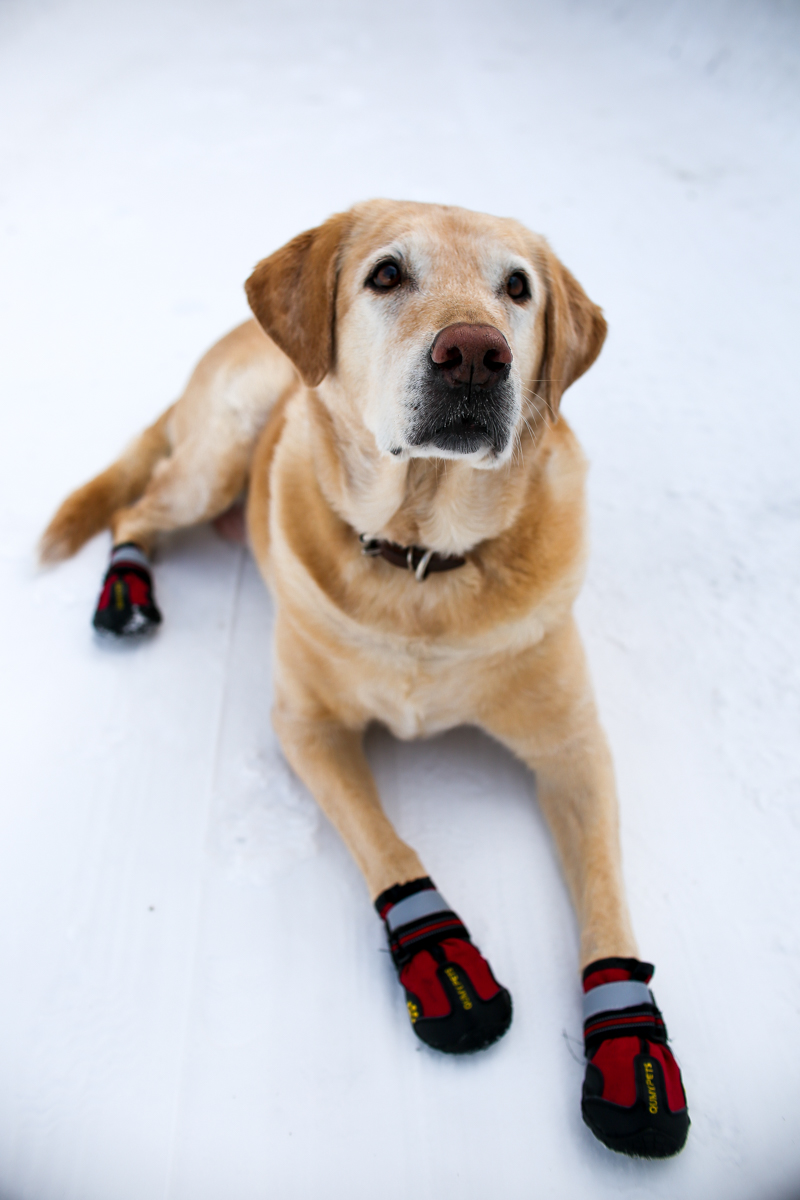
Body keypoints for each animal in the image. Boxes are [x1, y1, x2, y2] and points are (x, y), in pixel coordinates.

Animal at [38, 201, 690, 1156]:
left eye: (517, 288)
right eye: (387, 274)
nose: (475, 353)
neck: (421, 562)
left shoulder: (575, 750)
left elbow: (607, 899)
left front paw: (630, 1049)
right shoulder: (305, 724)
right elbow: (389, 847)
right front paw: (445, 963)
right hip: (220, 454)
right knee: (137, 505)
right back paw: (125, 593)